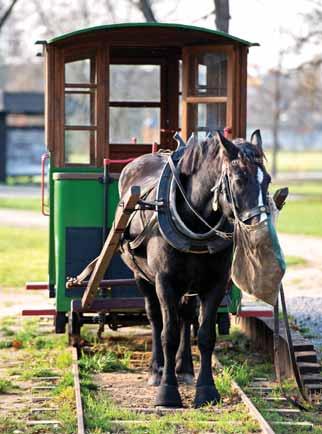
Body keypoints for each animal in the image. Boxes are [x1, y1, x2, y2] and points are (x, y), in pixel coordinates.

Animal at [117, 129, 270, 406]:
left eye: (268, 181)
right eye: (239, 179)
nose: (259, 230)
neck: (194, 222)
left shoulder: (216, 283)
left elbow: (205, 334)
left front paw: (206, 389)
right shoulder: (165, 282)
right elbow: (168, 333)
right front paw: (167, 391)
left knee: (186, 316)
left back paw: (185, 368)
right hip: (142, 277)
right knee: (155, 318)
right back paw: (156, 369)